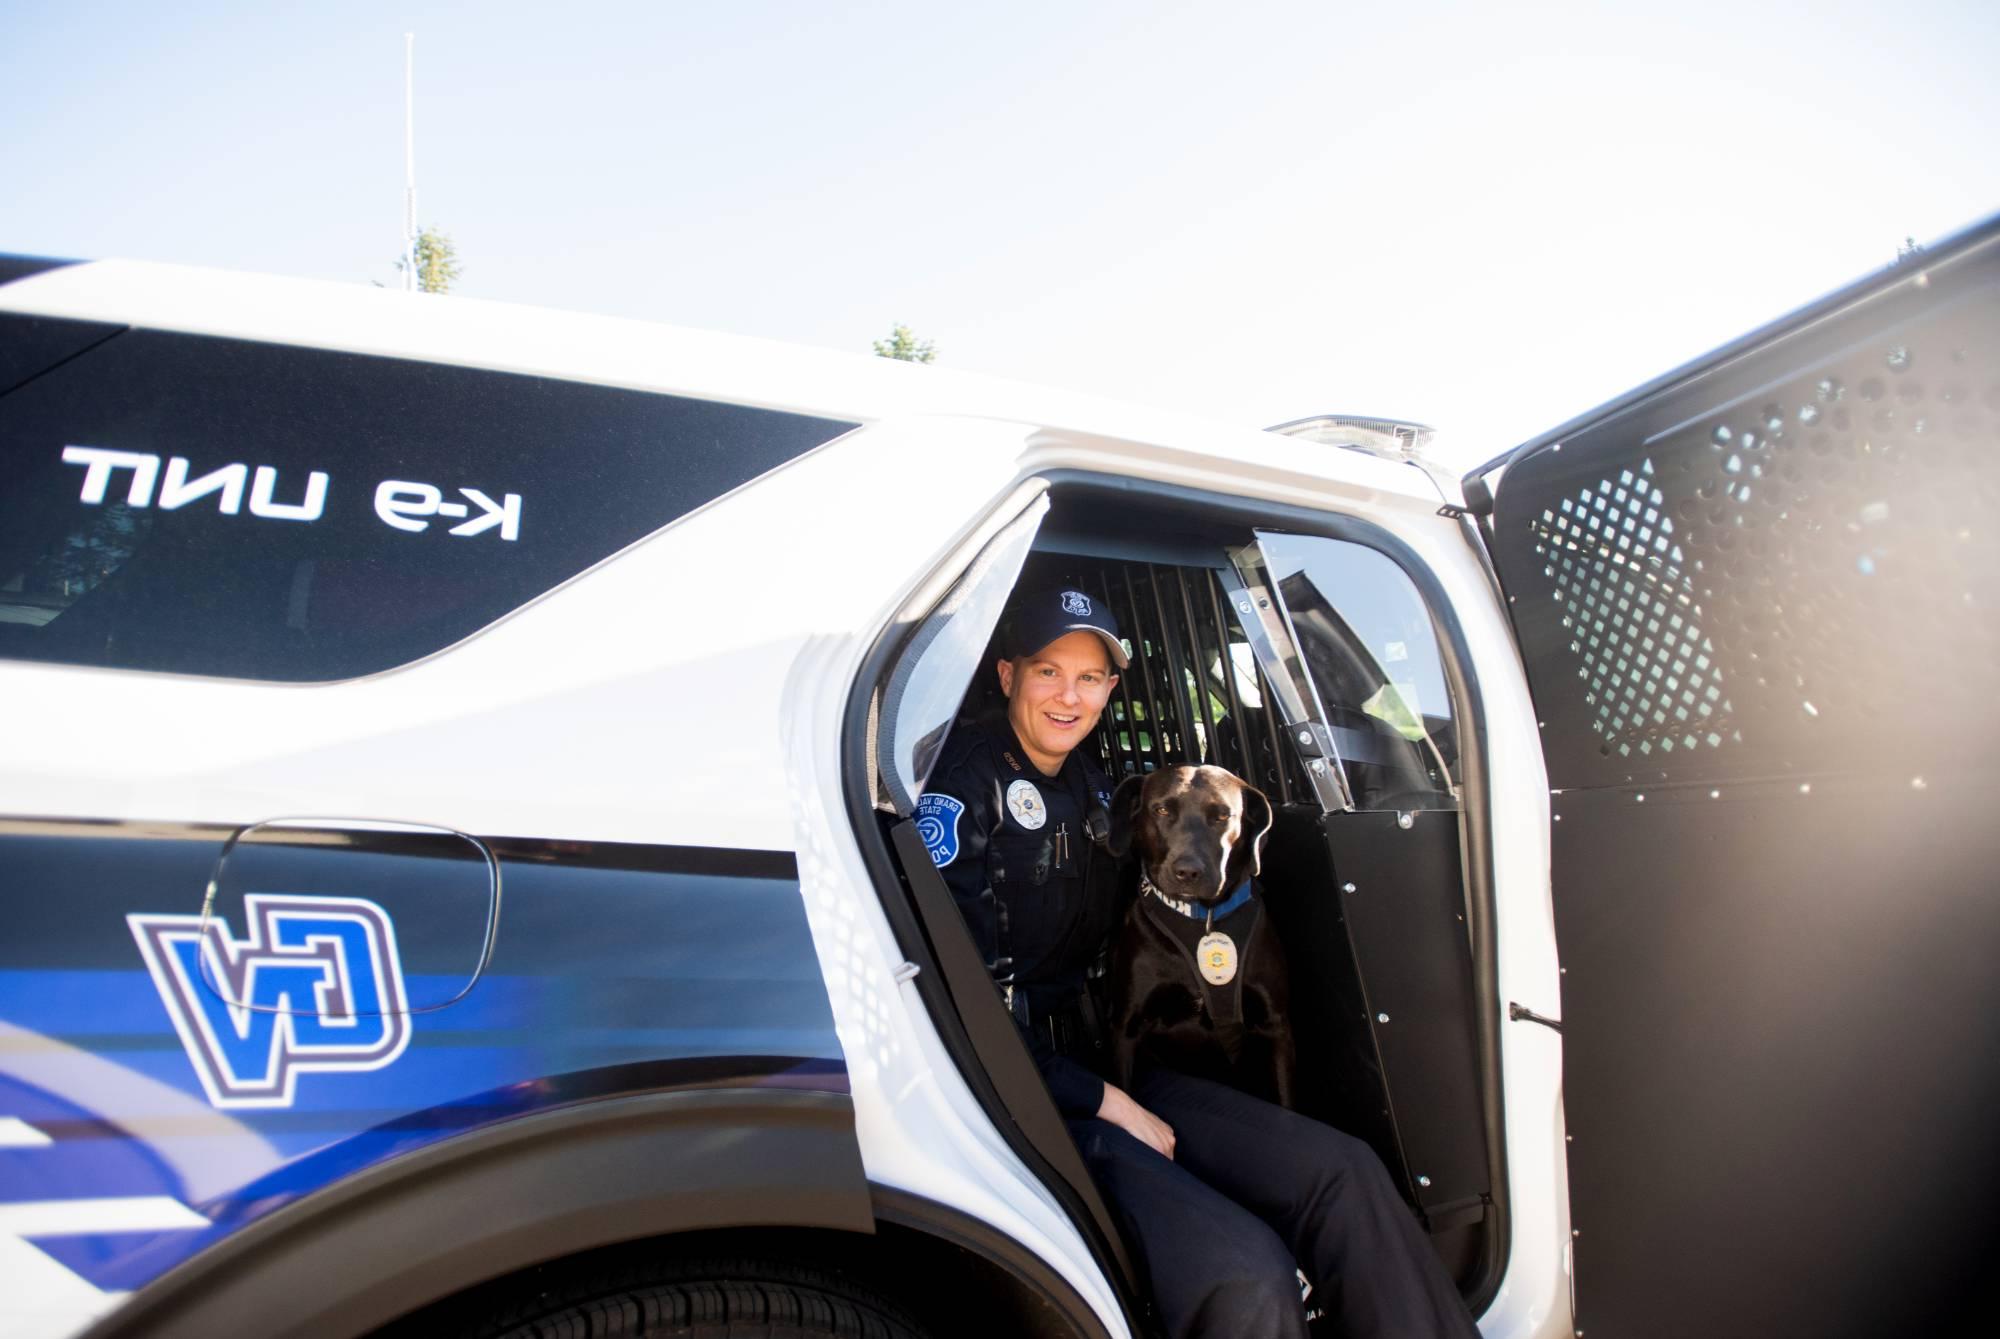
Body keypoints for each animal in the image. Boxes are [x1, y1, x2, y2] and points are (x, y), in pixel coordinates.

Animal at [1096, 767, 1296, 1111]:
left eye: (1222, 816)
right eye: (1162, 810)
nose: (1188, 872)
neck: (1202, 919)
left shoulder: (1277, 1027)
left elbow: (1286, 1099)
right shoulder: (1124, 1029)